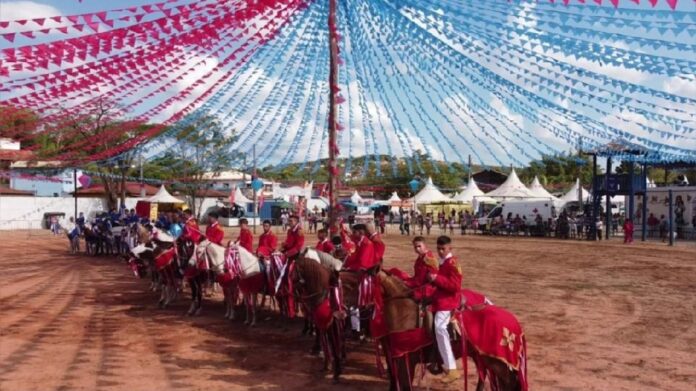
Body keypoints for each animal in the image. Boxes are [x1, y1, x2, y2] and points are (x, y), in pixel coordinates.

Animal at [376, 272, 528, 391]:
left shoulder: (406, 360)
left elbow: (404, 385)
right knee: (485, 375)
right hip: (480, 356)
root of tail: (515, 323)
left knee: (508, 382)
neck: (405, 314)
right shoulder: (395, 358)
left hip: (498, 362)